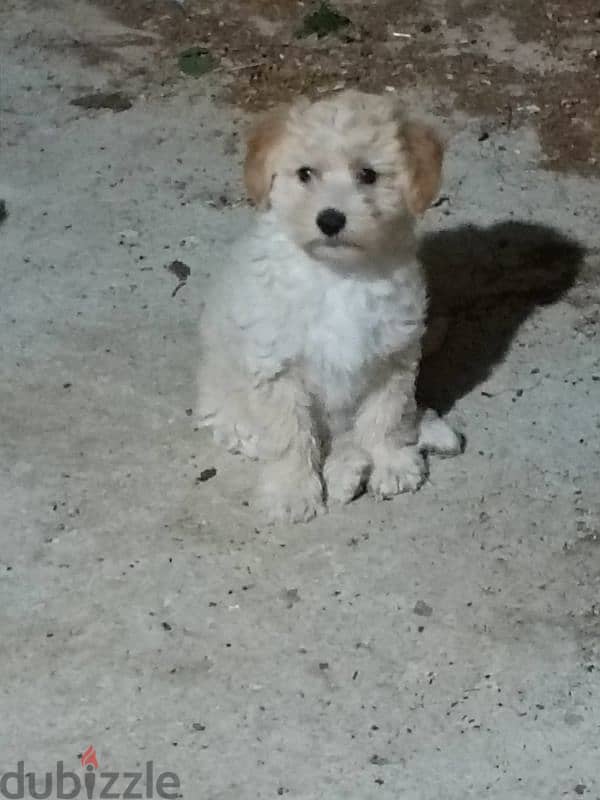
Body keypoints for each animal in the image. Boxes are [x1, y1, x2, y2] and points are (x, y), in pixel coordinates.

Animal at [199, 89, 462, 524]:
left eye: (368, 175)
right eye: (305, 174)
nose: (331, 220)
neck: (338, 275)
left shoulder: (393, 355)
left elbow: (386, 416)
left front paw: (391, 462)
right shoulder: (277, 368)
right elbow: (290, 436)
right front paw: (292, 491)